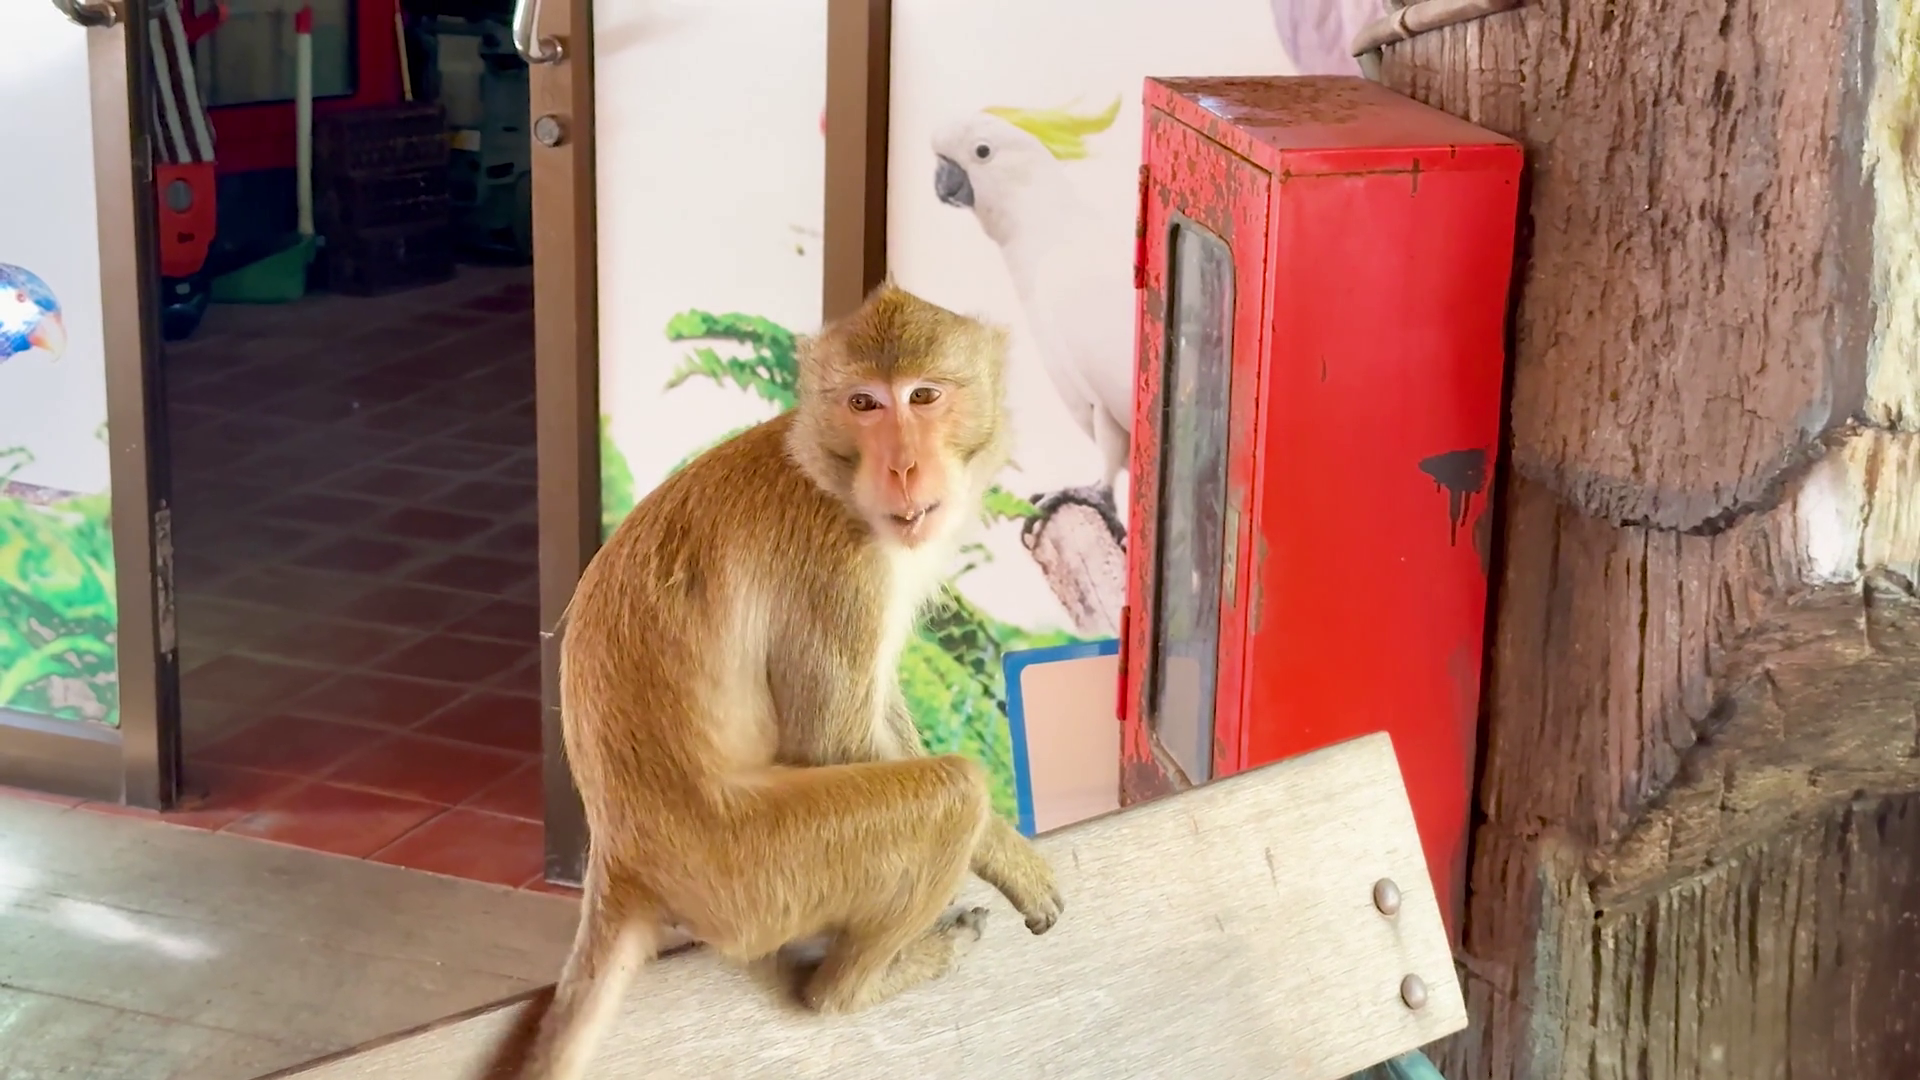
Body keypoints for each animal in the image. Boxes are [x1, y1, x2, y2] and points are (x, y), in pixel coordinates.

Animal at [524, 283, 1065, 1080]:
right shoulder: (837, 563)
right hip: (760, 875)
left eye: (924, 396)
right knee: (951, 793)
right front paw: (1006, 855)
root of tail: (623, 858)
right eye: (865, 403)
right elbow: (835, 740)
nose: (903, 468)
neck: (828, 472)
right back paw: (851, 987)